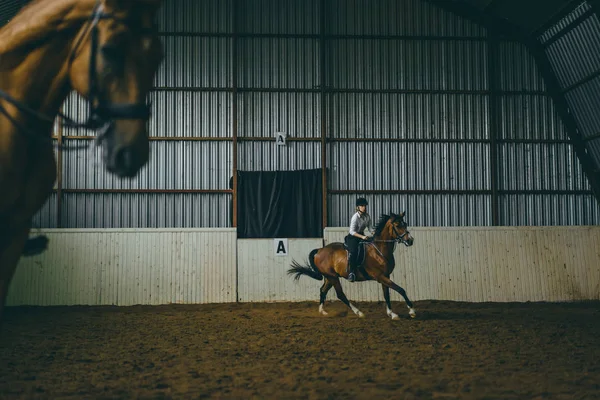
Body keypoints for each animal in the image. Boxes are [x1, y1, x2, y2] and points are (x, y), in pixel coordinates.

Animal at [290, 212, 418, 318]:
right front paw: (411, 311)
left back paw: (323, 311)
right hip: (333, 277)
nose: (410, 240)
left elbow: (386, 294)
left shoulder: (386, 276)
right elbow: (401, 290)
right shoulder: (380, 276)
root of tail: (319, 250)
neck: (379, 249)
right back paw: (359, 312)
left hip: (330, 277)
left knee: (323, 290)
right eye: (397, 225)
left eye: (405, 224)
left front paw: (391, 313)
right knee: (340, 294)